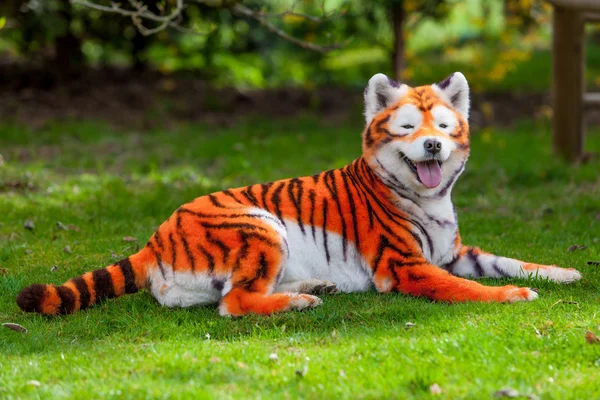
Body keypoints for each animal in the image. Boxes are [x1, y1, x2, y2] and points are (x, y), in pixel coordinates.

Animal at [17, 72, 580, 316]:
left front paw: (564, 272)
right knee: (233, 303)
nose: (434, 145)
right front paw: (513, 296)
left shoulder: (454, 250)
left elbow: (508, 260)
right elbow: (465, 287)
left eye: (442, 125)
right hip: (258, 223)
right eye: (406, 128)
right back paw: (301, 301)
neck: (430, 198)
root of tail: (155, 238)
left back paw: (316, 287)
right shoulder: (406, 266)